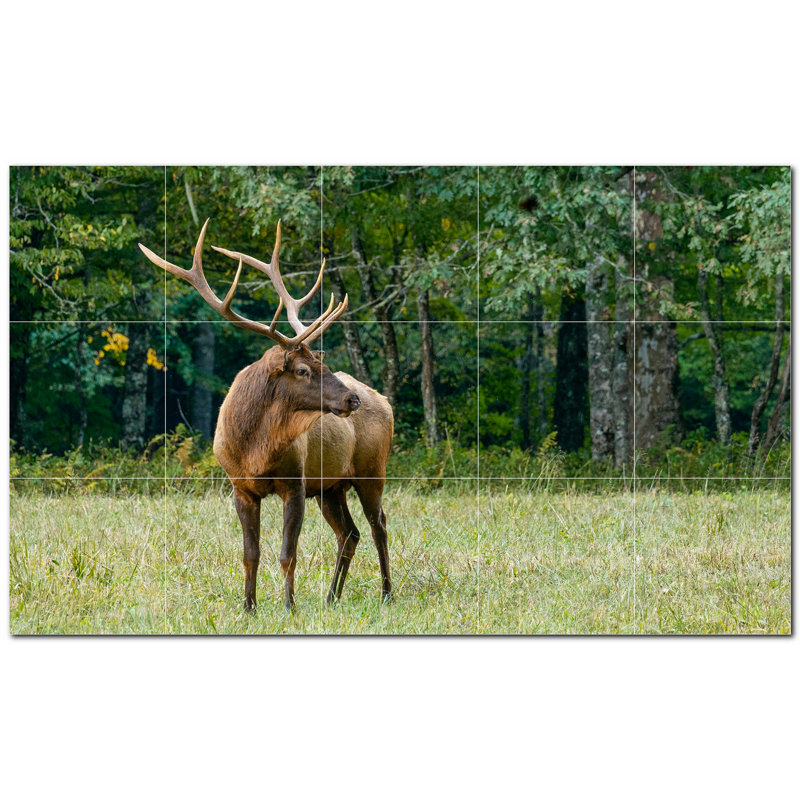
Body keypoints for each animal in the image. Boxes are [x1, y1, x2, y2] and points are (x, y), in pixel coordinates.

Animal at [139, 220, 393, 611]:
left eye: (322, 363)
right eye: (303, 370)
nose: (352, 400)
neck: (255, 450)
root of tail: (385, 401)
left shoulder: (296, 484)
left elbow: (288, 554)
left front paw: (289, 607)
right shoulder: (240, 488)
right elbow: (250, 554)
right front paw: (248, 607)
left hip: (371, 470)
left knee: (378, 524)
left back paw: (386, 594)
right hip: (331, 486)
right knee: (350, 534)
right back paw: (331, 597)